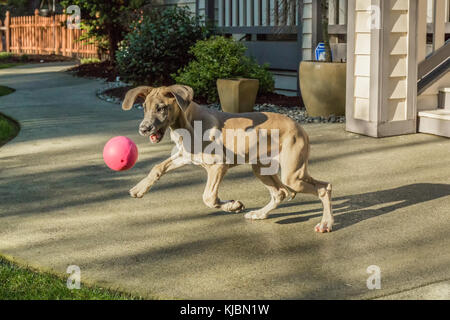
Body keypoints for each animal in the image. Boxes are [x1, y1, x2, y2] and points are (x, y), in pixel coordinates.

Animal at [121, 85, 332, 232]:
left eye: (161, 108)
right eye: (144, 108)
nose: (143, 129)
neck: (187, 124)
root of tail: (300, 126)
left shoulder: (217, 166)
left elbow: (209, 197)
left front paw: (233, 205)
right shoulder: (184, 156)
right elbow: (157, 167)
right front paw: (139, 189)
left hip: (292, 174)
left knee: (322, 188)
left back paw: (326, 223)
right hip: (264, 168)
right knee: (282, 192)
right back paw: (260, 214)